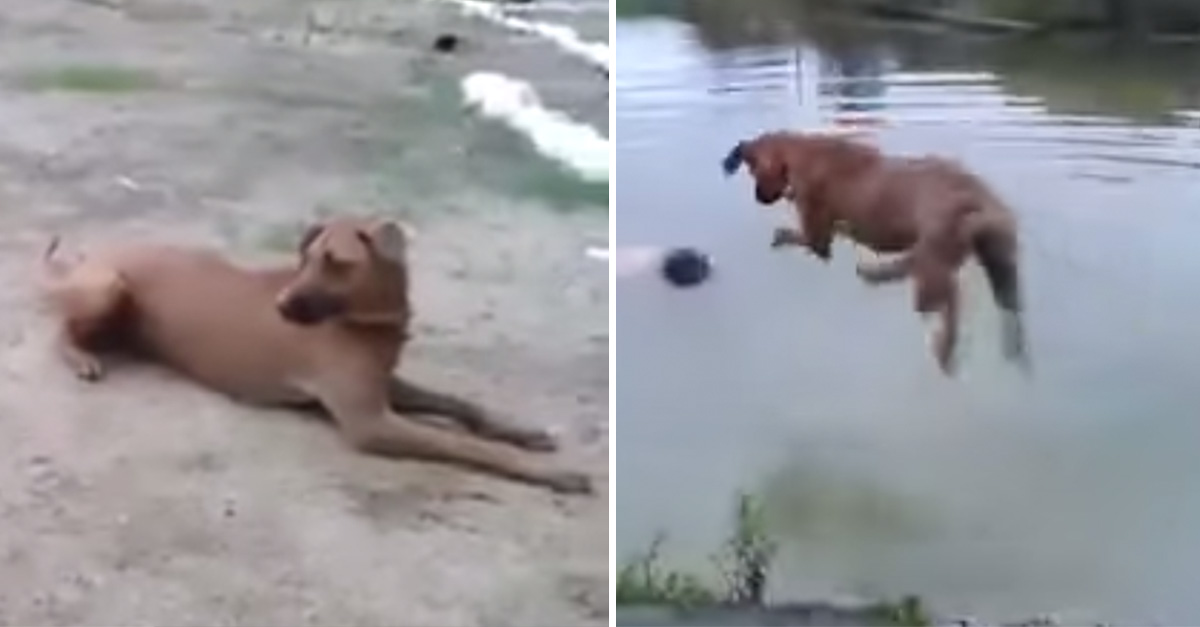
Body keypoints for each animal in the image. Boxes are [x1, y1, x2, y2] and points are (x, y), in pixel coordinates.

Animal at [42, 215, 595, 492]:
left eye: (335, 261)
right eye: (306, 258)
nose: (282, 305)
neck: (368, 321)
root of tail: (87, 257)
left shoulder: (385, 387)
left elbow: (462, 406)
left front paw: (520, 431)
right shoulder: (370, 420)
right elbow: (464, 444)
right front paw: (548, 473)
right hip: (108, 288)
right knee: (59, 329)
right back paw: (81, 356)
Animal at [720, 129, 1032, 372]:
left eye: (753, 170)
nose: (759, 198)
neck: (804, 152)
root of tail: (983, 202)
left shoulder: (817, 238)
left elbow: (804, 238)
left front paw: (782, 233)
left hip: (933, 272)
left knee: (947, 300)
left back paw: (943, 347)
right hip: (994, 266)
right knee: (1000, 305)